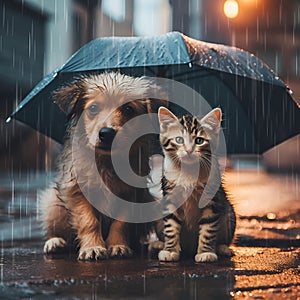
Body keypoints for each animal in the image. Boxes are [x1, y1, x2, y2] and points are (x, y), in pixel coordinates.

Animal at [40, 72, 165, 260]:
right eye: (93, 108)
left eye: (128, 109)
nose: (106, 133)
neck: (107, 162)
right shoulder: (77, 192)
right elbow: (88, 221)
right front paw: (93, 247)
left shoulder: (130, 195)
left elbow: (120, 223)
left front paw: (118, 245)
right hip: (53, 203)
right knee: (56, 228)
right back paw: (55, 242)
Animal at [156, 106, 236, 262]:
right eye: (179, 140)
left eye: (199, 140)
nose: (188, 150)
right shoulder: (169, 197)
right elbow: (171, 226)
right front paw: (169, 250)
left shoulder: (211, 199)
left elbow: (208, 227)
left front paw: (206, 252)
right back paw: (159, 244)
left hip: (229, 212)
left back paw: (222, 248)